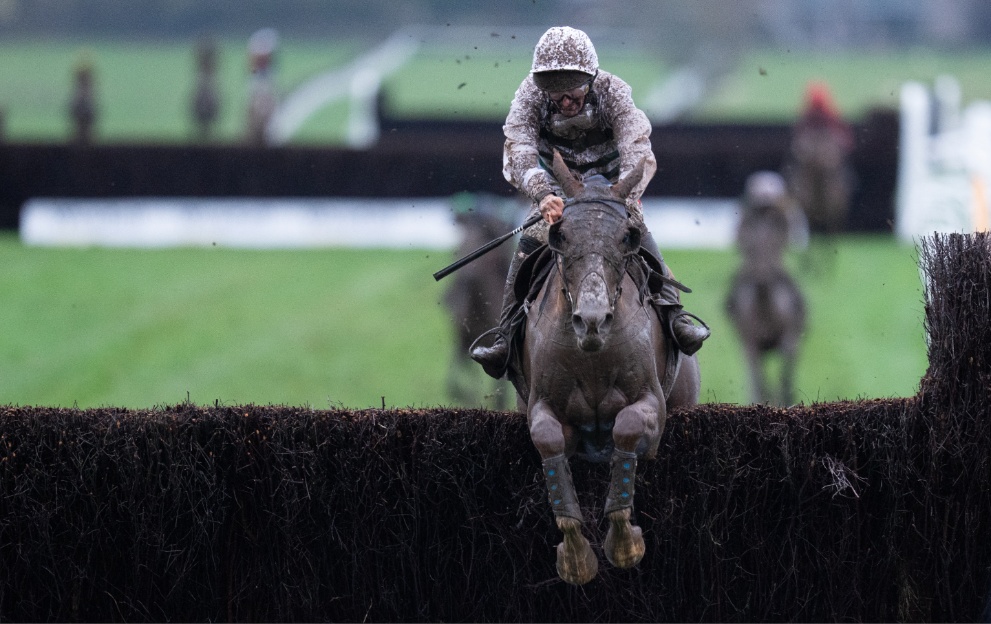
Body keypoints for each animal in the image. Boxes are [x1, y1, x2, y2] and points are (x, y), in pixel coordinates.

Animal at [508, 152, 700, 584]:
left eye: (627, 238)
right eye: (560, 235)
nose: (591, 321)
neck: (592, 355)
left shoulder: (653, 403)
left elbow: (627, 427)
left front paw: (625, 544)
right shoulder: (542, 404)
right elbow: (548, 440)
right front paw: (576, 555)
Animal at [728, 171, 808, 404]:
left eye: (772, 248)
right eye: (752, 250)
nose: (761, 276)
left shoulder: (789, 339)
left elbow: (785, 376)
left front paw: (786, 399)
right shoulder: (751, 344)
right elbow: (760, 381)